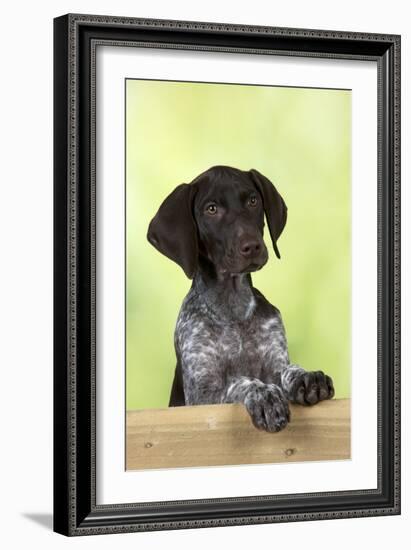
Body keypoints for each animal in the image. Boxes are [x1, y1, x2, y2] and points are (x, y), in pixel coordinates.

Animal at [148, 166, 334, 434]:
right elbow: (241, 382)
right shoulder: (201, 395)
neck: (233, 308)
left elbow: (288, 370)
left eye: (253, 201)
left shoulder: (276, 363)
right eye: (211, 209)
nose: (252, 246)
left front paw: (306, 376)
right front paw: (264, 394)